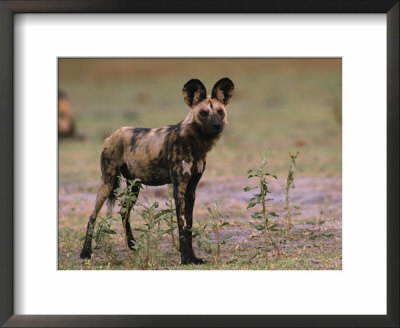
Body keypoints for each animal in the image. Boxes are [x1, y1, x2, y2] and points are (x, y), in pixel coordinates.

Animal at [79, 77, 233, 264]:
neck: (195, 143)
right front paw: (185, 259)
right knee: (92, 217)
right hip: (107, 182)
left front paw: (193, 258)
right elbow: (182, 226)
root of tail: (111, 135)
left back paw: (132, 245)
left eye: (220, 112)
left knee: (123, 212)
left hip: (134, 187)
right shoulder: (179, 189)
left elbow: (189, 225)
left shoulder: (191, 190)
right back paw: (85, 252)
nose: (217, 125)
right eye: (203, 113)